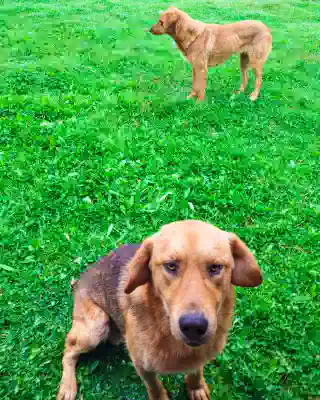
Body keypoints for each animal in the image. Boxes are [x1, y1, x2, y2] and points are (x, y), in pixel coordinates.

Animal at [57, 220, 262, 398]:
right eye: (170, 266)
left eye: (215, 267)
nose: (193, 326)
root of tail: (79, 280)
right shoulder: (142, 366)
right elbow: (155, 388)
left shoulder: (199, 356)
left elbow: (196, 371)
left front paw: (196, 387)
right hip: (96, 327)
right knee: (68, 350)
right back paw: (67, 386)